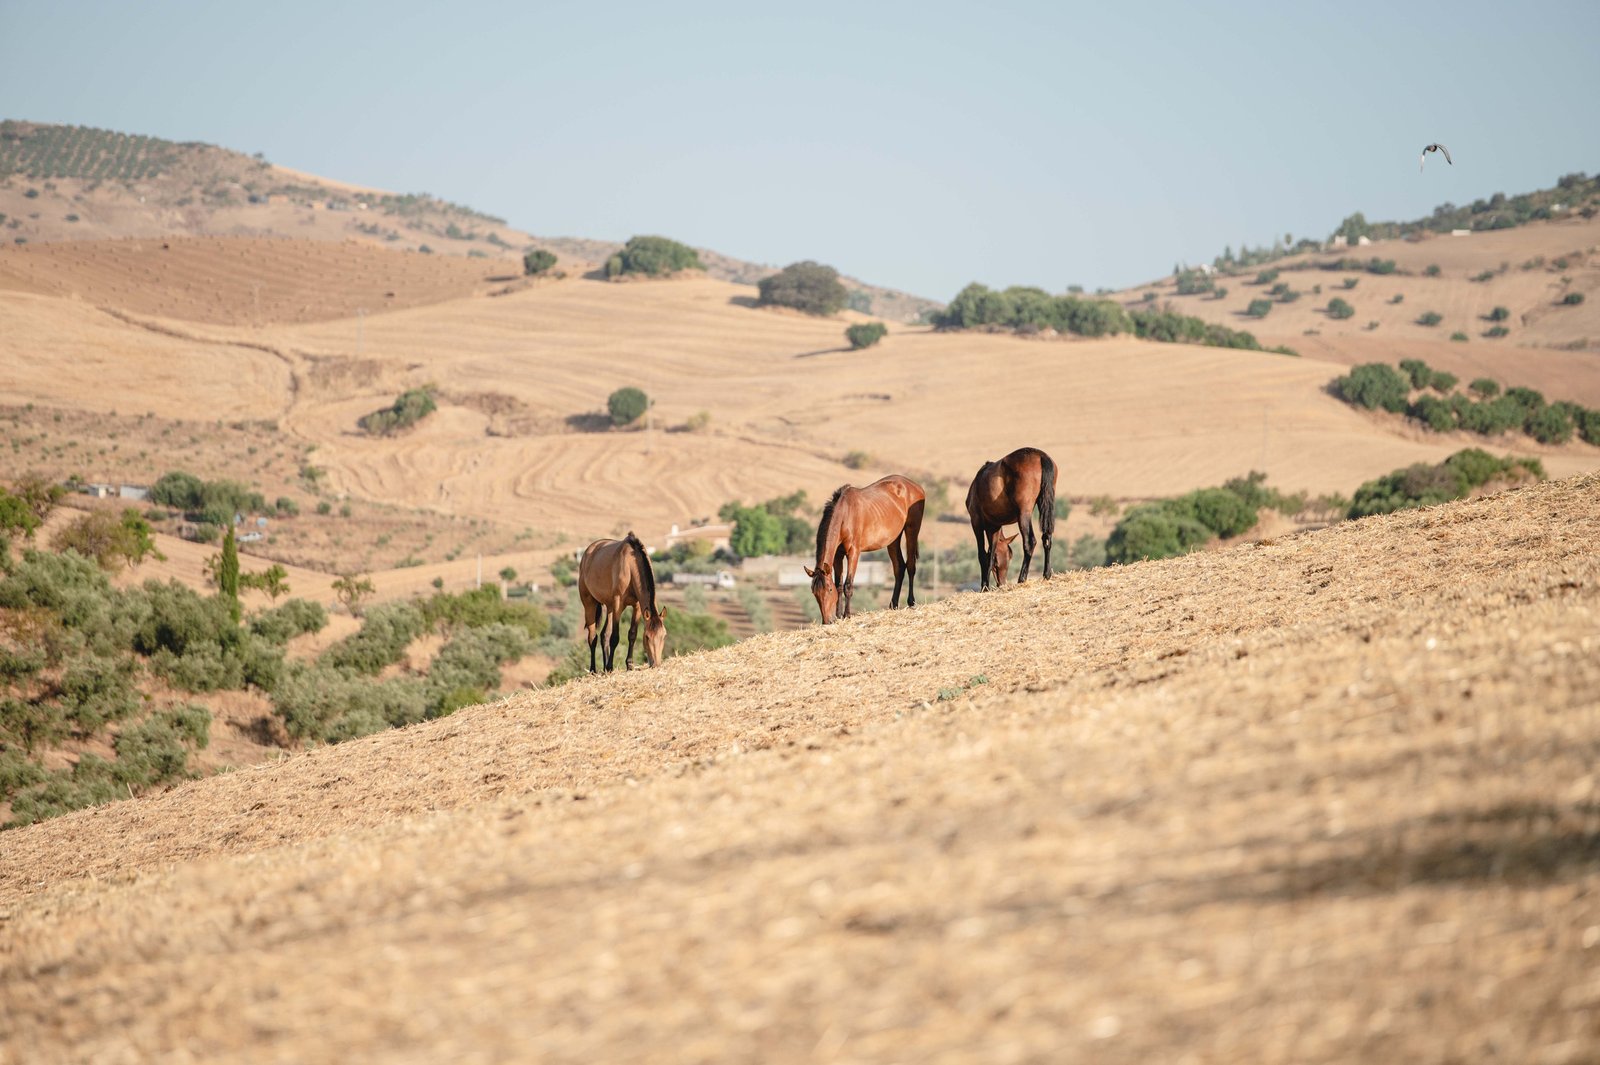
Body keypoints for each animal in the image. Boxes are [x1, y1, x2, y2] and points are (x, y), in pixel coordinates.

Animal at [577, 532, 666, 672]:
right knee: (593, 637)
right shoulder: (618, 604)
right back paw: (593, 670)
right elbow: (615, 637)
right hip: (589, 603)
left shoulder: (637, 606)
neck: (630, 566)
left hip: (609, 607)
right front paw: (610, 667)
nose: (656, 664)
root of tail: (588, 552)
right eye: (647, 637)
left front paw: (629, 664)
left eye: (664, 635)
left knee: (604, 635)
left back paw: (603, 668)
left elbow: (632, 634)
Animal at [805, 474, 925, 624]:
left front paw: (847, 615)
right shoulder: (838, 555)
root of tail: (916, 486)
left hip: (911, 531)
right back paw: (893, 604)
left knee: (910, 566)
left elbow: (848, 585)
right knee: (899, 568)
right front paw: (839, 615)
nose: (827, 621)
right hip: (893, 540)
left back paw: (911, 602)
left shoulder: (854, 553)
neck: (845, 514)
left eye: (829, 590)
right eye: (814, 592)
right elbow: (839, 585)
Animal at [965, 447, 1057, 590]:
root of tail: (1040, 456)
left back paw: (1022, 578)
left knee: (1030, 542)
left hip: (1024, 513)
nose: (1002, 584)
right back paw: (1046, 575)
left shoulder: (976, 523)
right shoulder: (994, 527)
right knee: (1047, 538)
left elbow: (983, 555)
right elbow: (990, 554)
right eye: (1009, 556)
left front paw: (984, 586)